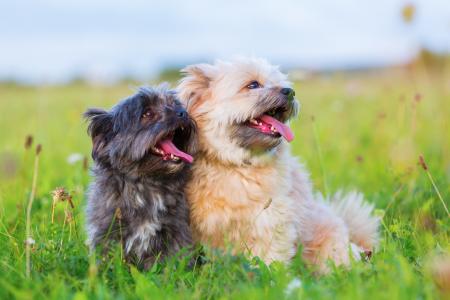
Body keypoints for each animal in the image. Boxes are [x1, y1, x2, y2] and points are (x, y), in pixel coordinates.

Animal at [85, 85, 196, 270]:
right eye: (147, 113)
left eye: (174, 104)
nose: (182, 113)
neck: (146, 183)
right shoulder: (108, 230)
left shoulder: (176, 229)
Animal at [177, 57, 380, 274]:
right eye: (253, 85)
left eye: (279, 82)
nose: (290, 91)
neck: (233, 165)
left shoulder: (270, 221)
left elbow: (269, 261)